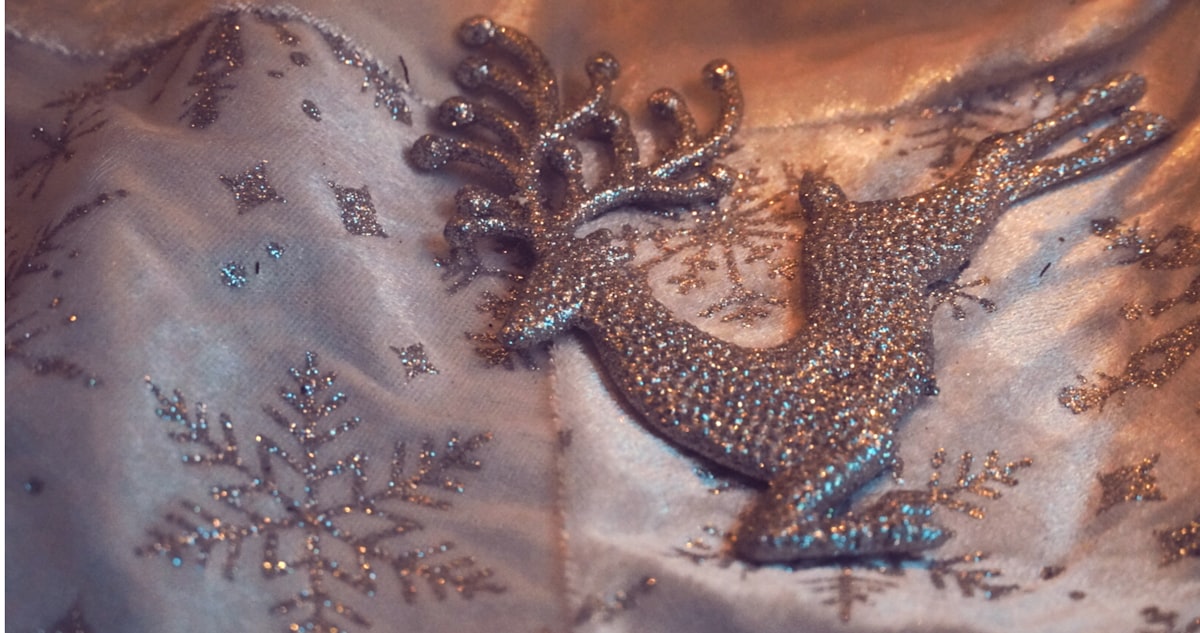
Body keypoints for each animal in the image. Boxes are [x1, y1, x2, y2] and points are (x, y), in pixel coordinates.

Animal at [410, 16, 1173, 563]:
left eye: (560, 276)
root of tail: (837, 208)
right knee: (1002, 164)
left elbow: (765, 538)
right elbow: (770, 535)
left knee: (996, 157)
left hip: (936, 232)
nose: (513, 332)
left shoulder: (849, 451)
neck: (734, 379)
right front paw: (906, 517)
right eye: (528, 273)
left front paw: (911, 522)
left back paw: (1137, 111)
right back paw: (1132, 112)